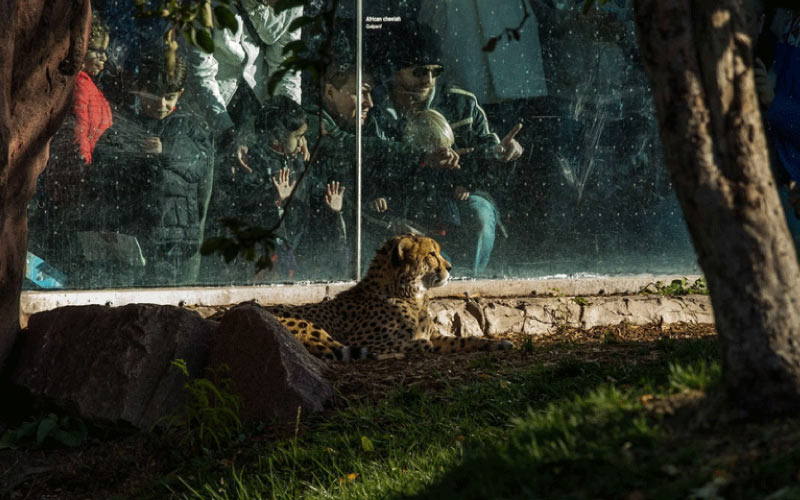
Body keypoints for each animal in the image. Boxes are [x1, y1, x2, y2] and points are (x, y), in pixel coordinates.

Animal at [262, 234, 512, 360]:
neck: (410, 294)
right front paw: (412, 347)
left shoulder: (436, 336)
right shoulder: (363, 339)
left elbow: (462, 340)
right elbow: (413, 343)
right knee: (338, 353)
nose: (450, 267)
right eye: (432, 254)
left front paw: (497, 343)